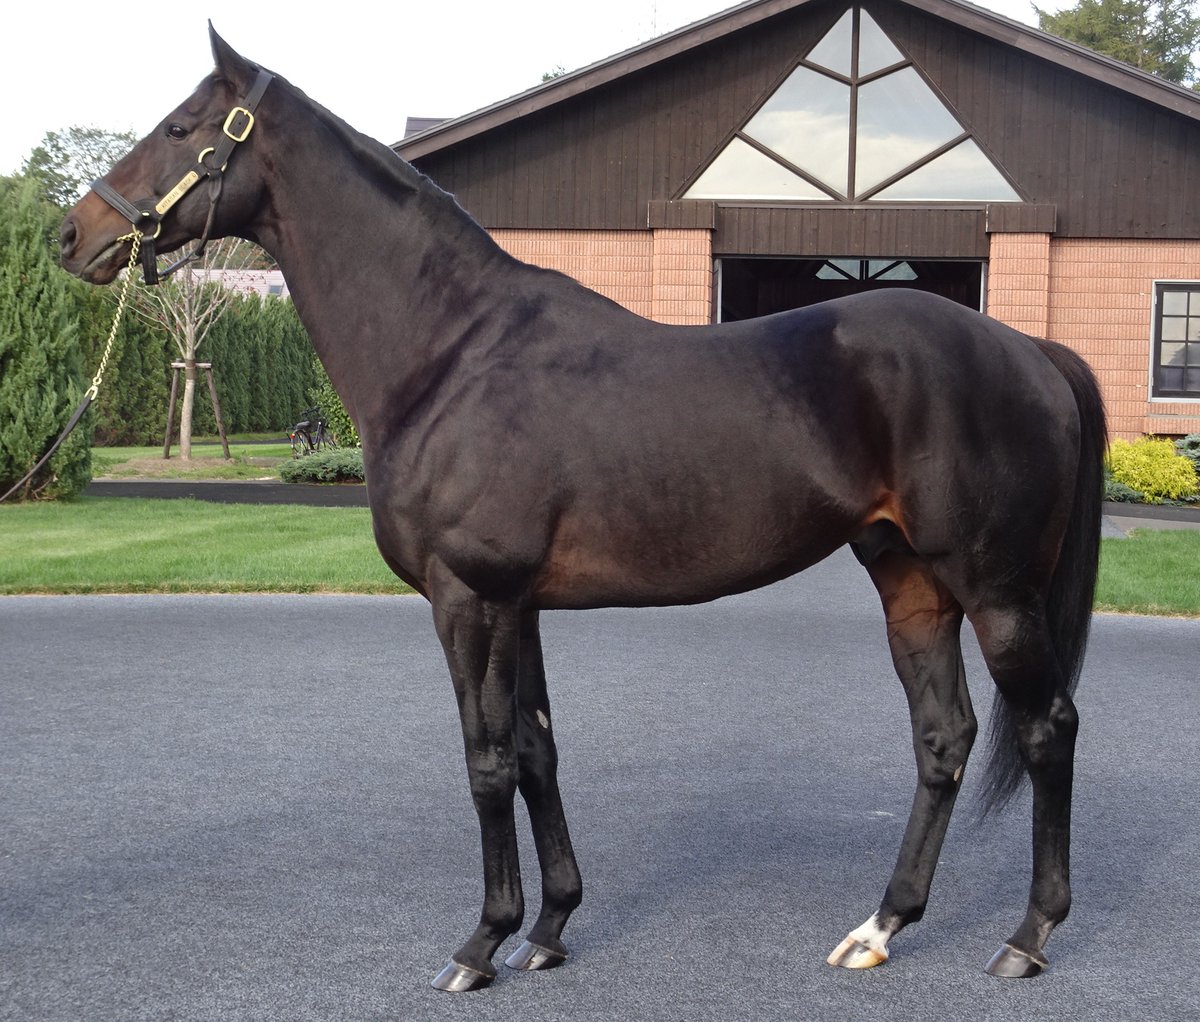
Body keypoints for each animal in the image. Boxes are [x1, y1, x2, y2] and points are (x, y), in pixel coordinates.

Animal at [61, 27, 1107, 992]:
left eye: (181, 127)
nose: (73, 236)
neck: (453, 351)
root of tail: (1032, 351)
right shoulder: (517, 603)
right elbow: (536, 751)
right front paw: (551, 927)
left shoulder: (468, 597)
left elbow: (486, 760)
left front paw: (480, 943)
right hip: (910, 582)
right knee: (945, 738)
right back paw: (880, 927)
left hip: (996, 591)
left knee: (1049, 728)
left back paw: (1027, 938)